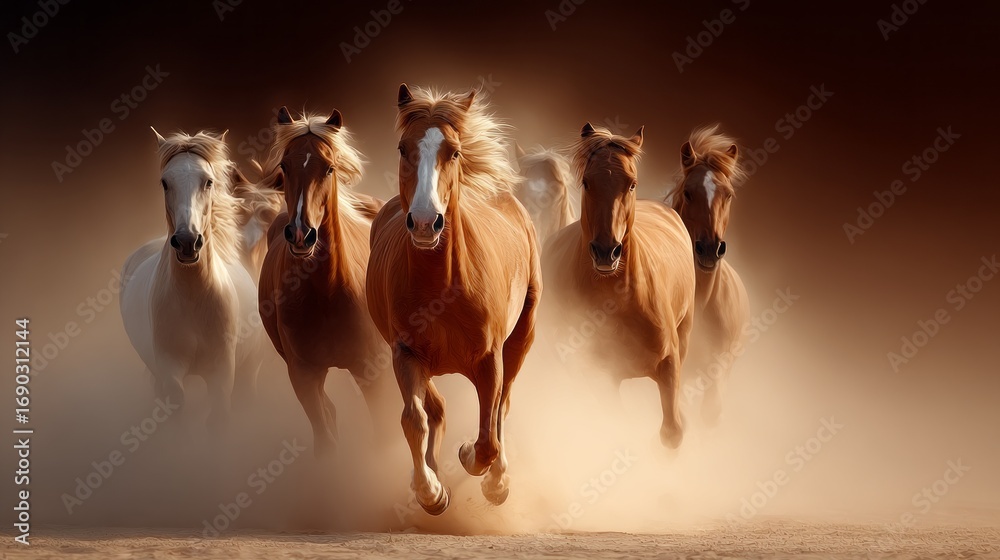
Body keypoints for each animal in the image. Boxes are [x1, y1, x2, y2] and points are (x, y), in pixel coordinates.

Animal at [120, 130, 269, 427]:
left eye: (208, 181)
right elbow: (176, 403)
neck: (193, 296)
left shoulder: (223, 371)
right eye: (165, 183)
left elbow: (219, 415)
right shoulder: (168, 367)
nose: (188, 242)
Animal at [256, 107, 397, 457]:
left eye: (329, 168)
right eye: (284, 165)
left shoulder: (372, 373)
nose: (301, 234)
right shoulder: (303, 376)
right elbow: (326, 440)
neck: (325, 293)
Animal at [366, 84, 541, 514]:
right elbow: (414, 420)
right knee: (436, 409)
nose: (425, 222)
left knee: (501, 411)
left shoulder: (490, 359)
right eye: (402, 148)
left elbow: (489, 434)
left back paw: (496, 480)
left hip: (521, 338)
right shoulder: (406, 353)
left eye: (455, 152)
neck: (441, 288)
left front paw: (476, 466)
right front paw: (431, 492)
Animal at [542, 123, 695, 449]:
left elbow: (671, 432)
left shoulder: (669, 364)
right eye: (587, 182)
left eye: (632, 184)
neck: (618, 301)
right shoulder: (602, 377)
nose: (605, 251)